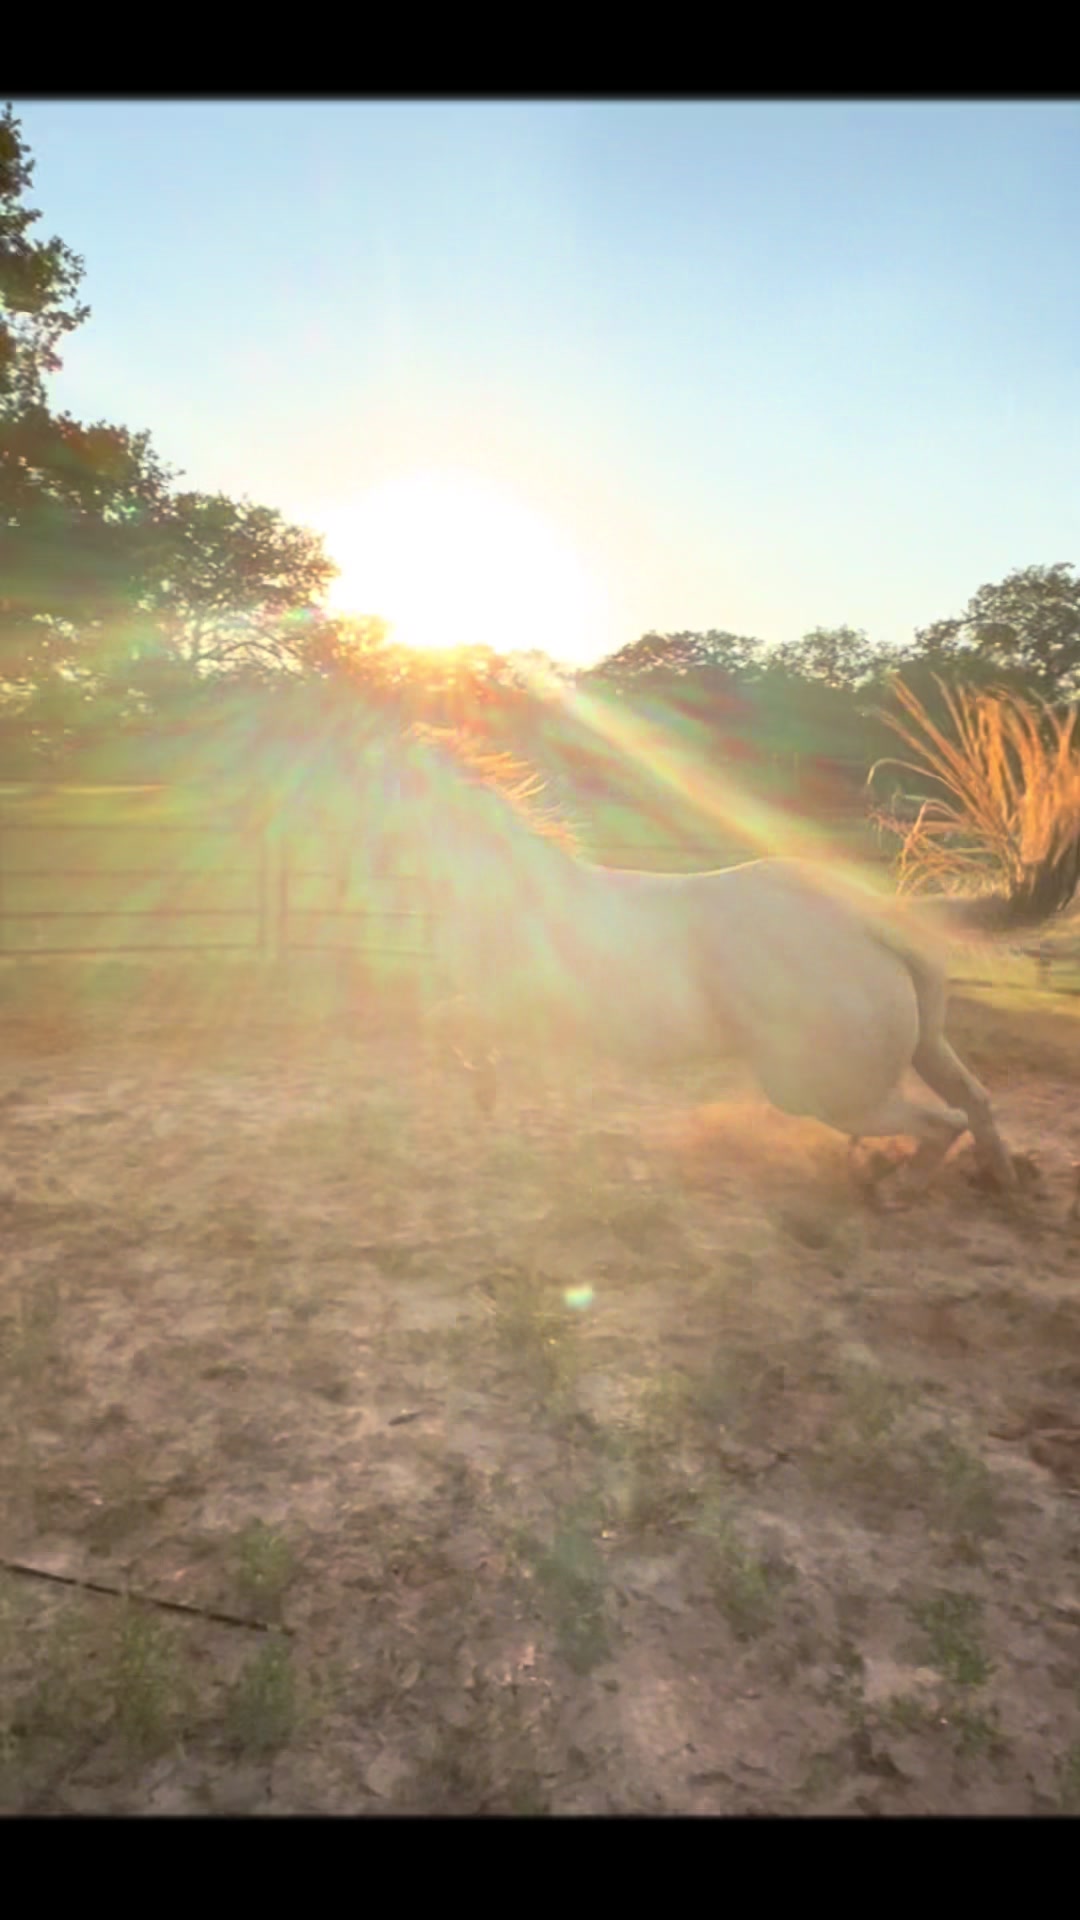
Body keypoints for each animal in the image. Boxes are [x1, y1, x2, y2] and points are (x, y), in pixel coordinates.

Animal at [404, 732, 1074, 1203]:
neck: (506, 889)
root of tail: (872, 915)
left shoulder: (512, 1005)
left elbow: (444, 1023)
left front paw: (485, 1092)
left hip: (820, 1089)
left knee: (944, 1121)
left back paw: (892, 1188)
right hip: (924, 1046)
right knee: (976, 1101)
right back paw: (1005, 1183)